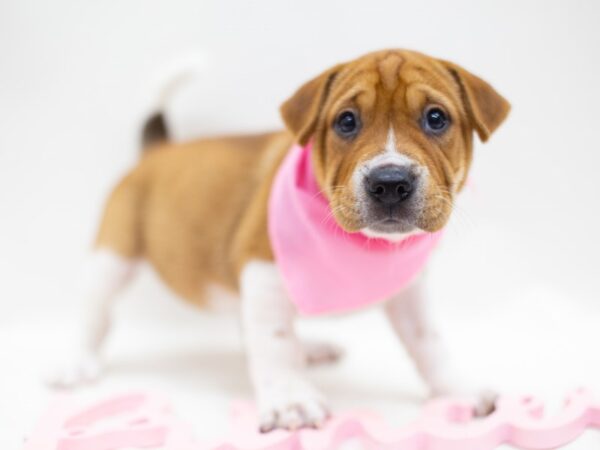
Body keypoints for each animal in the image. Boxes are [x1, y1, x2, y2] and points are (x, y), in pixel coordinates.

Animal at [52, 49, 510, 432]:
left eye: (436, 118)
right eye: (347, 121)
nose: (391, 182)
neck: (366, 245)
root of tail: (155, 152)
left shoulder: (409, 290)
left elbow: (429, 342)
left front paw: (456, 388)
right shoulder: (263, 271)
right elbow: (274, 344)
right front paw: (291, 399)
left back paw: (310, 346)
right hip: (113, 255)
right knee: (94, 313)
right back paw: (75, 361)